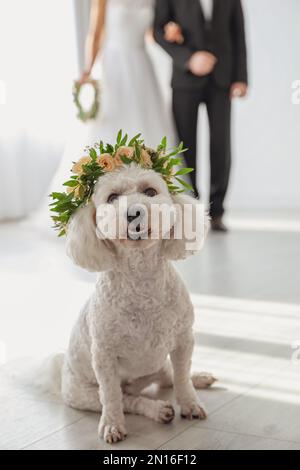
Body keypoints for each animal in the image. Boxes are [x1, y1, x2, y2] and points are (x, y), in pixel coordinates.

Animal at [61, 165, 213, 444]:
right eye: (112, 197)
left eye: (150, 191)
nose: (134, 212)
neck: (142, 279)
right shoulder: (104, 356)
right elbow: (112, 396)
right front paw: (112, 425)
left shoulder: (183, 340)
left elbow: (182, 377)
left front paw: (190, 404)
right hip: (83, 395)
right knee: (129, 400)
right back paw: (158, 410)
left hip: (159, 363)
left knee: (170, 377)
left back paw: (200, 378)